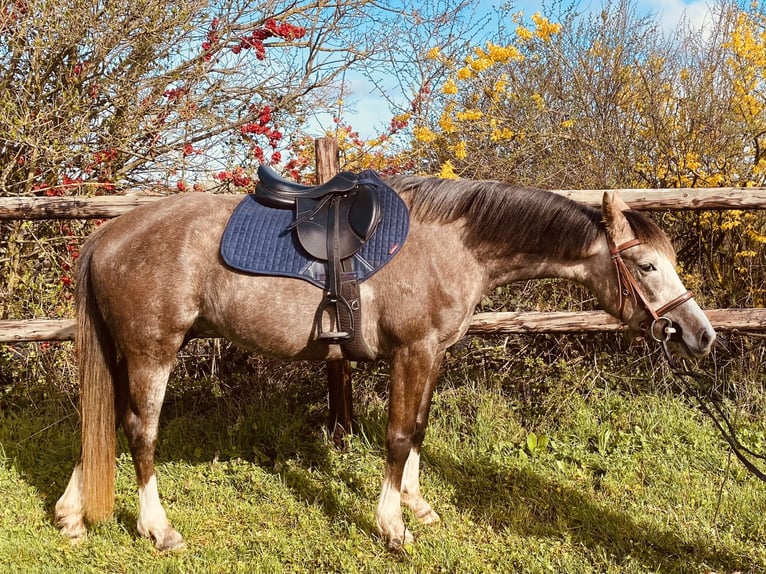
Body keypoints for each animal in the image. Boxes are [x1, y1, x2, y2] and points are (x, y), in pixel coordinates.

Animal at [54, 176, 716, 551]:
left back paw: (72, 514)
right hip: (153, 351)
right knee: (140, 431)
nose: (700, 335)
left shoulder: (433, 353)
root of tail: (108, 236)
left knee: (102, 421)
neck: (453, 244)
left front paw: (417, 507)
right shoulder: (413, 351)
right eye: (649, 266)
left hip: (127, 353)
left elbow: (418, 430)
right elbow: (398, 437)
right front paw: (392, 526)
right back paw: (157, 529)